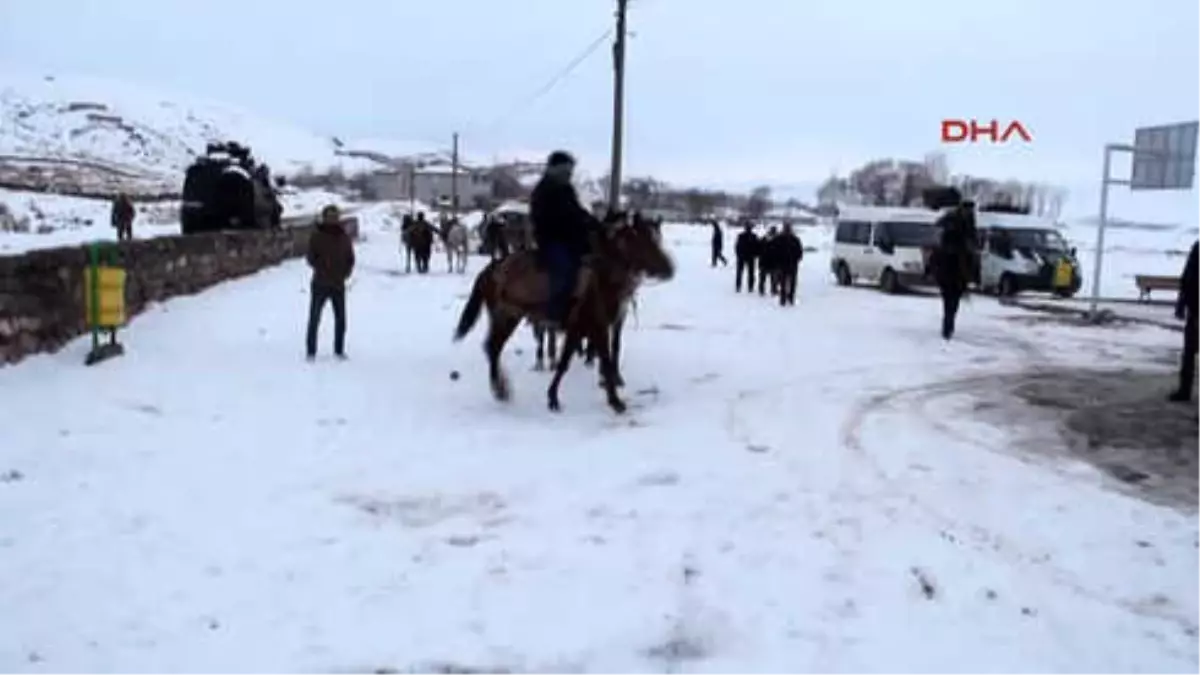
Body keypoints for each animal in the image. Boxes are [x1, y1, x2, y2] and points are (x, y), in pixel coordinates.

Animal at [451, 212, 676, 413]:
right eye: (645, 244)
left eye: (657, 240)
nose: (670, 269)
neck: (602, 278)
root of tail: (493, 268)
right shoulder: (598, 327)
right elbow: (602, 359)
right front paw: (615, 401)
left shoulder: (581, 328)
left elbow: (565, 361)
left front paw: (553, 397)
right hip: (506, 317)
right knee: (493, 347)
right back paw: (501, 389)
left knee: (493, 347)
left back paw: (501, 388)